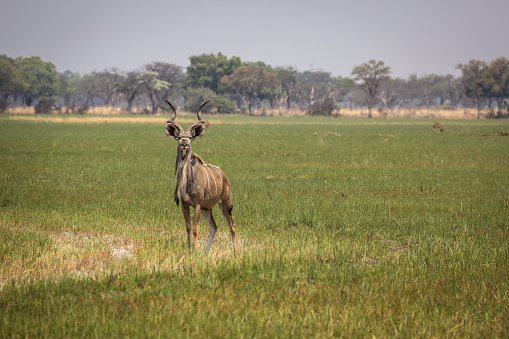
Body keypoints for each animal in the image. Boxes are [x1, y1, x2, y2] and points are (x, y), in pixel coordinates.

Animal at [163, 100, 236, 255]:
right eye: (179, 137)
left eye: (190, 137)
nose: (184, 144)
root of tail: (225, 176)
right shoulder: (185, 204)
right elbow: (188, 227)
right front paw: (190, 251)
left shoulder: (196, 204)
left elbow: (196, 229)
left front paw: (195, 251)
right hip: (207, 209)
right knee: (214, 227)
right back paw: (206, 252)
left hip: (225, 203)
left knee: (231, 226)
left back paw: (235, 253)